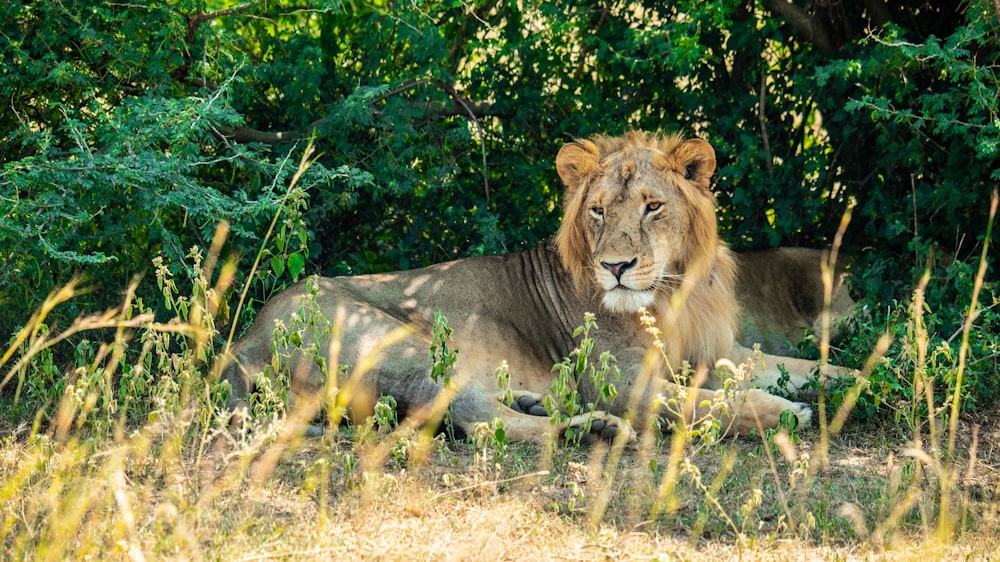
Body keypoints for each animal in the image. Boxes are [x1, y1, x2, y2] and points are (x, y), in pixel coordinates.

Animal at [221, 131, 852, 442]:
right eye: (598, 211)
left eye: (652, 207)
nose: (616, 266)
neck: (675, 292)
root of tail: (244, 338)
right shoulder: (622, 384)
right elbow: (706, 405)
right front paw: (785, 412)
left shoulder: (715, 351)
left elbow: (805, 366)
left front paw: (858, 379)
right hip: (401, 343)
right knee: (474, 422)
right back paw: (589, 428)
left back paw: (545, 404)